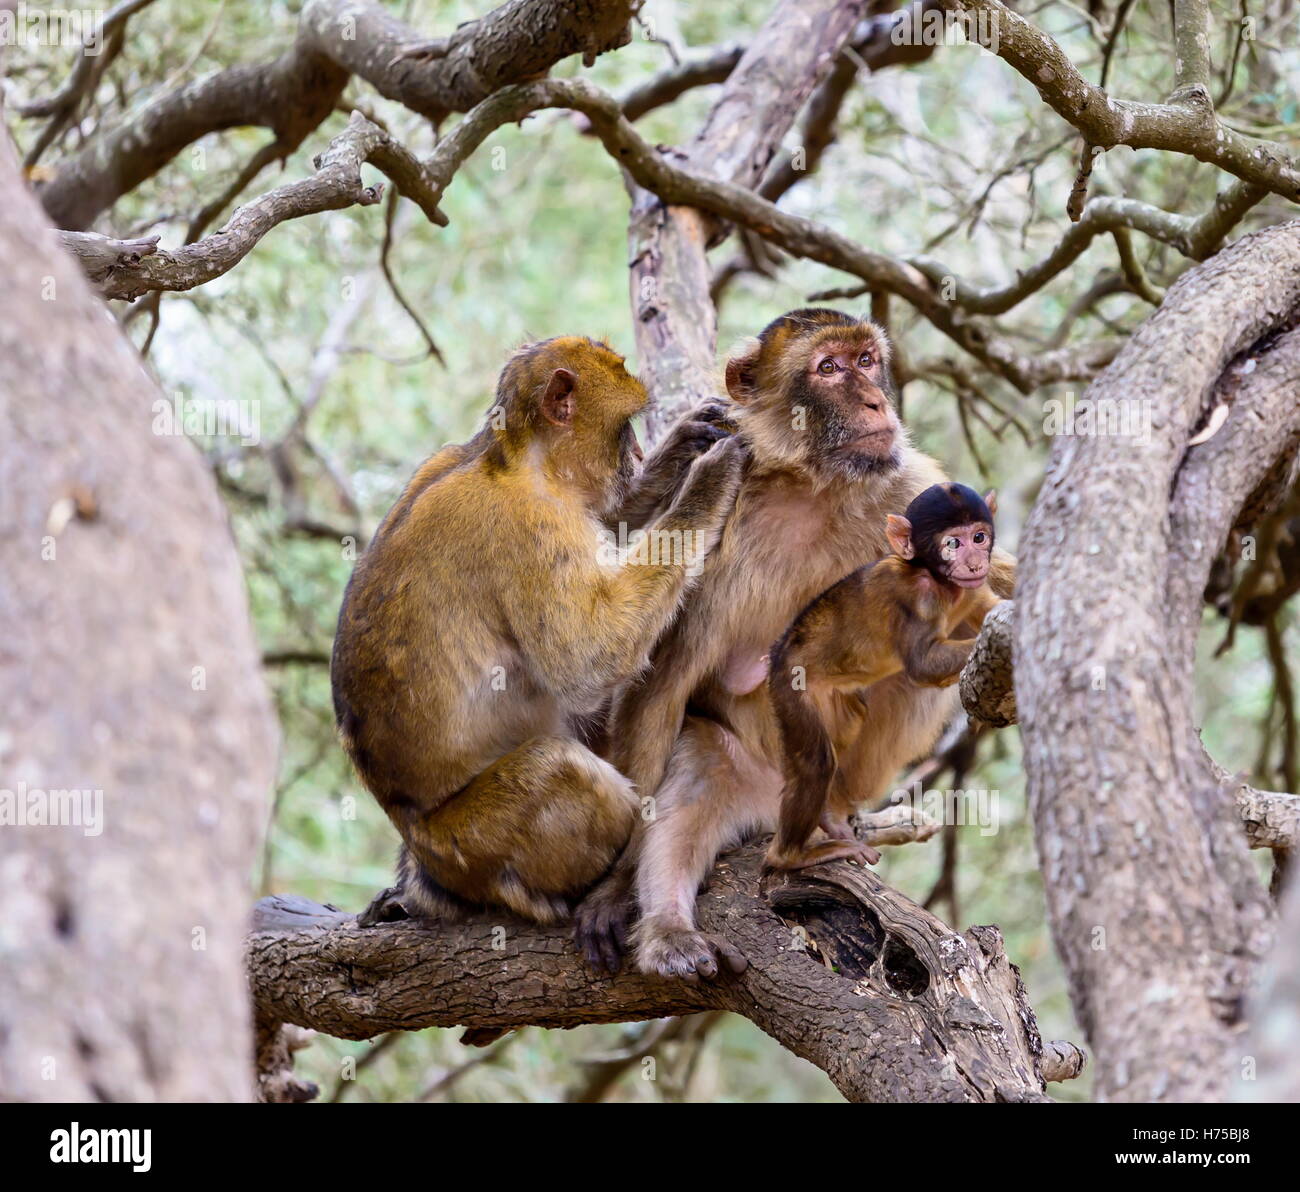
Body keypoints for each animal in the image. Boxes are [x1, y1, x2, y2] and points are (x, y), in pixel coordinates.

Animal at [330, 336, 745, 928]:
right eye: (625, 429)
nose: (639, 455)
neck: (514, 460)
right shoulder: (530, 528)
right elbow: (587, 660)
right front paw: (706, 482)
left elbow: (610, 517)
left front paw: (686, 444)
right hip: (474, 845)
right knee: (557, 767)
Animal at [765, 483, 1003, 872]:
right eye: (953, 543)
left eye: (979, 537)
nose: (974, 563)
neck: (941, 582)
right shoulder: (917, 597)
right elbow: (921, 665)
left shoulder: (975, 589)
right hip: (791, 687)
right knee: (816, 763)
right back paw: (790, 855)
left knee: (847, 725)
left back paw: (828, 816)